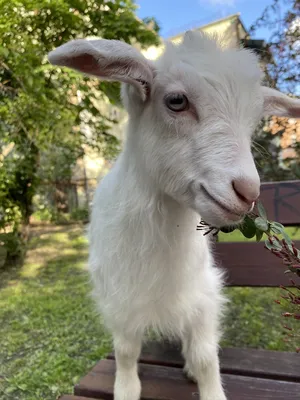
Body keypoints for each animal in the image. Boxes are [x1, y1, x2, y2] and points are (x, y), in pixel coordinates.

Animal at [48, 32, 300, 400]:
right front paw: (126, 389)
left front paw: (208, 385)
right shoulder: (120, 299)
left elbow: (206, 356)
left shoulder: (202, 294)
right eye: (177, 101)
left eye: (253, 121)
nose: (247, 192)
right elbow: (126, 351)